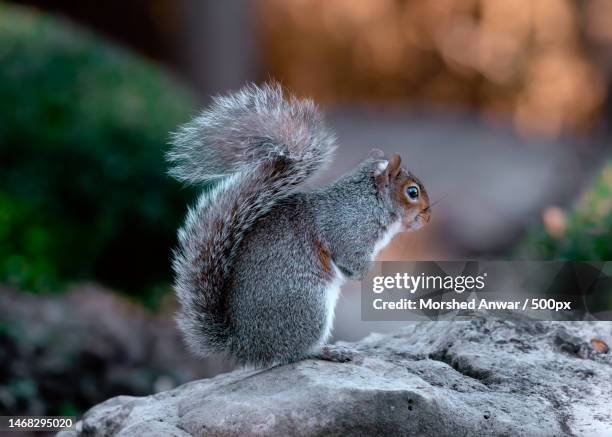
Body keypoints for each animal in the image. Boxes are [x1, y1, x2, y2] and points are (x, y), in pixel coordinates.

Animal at [167, 82, 430, 368]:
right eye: (412, 192)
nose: (428, 217)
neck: (371, 200)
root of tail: (245, 345)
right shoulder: (349, 230)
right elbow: (352, 261)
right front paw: (376, 277)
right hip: (309, 304)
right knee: (295, 353)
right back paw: (329, 352)